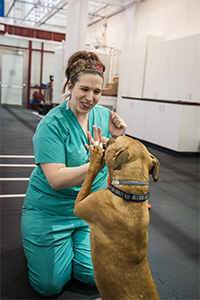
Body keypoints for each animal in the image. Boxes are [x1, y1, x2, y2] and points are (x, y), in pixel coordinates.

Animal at [73, 137, 159, 300]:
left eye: (115, 140)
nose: (111, 136)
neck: (131, 193)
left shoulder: (80, 205)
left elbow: (91, 173)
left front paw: (95, 156)